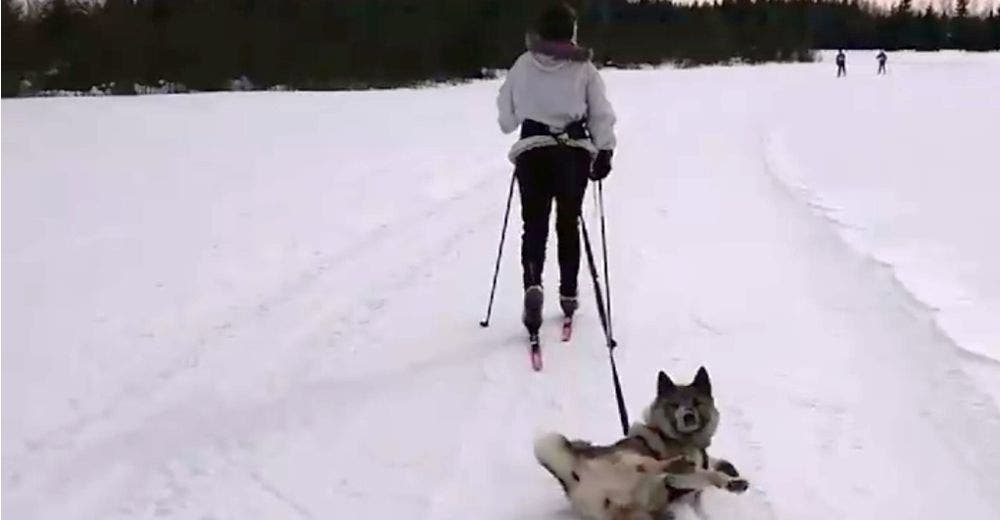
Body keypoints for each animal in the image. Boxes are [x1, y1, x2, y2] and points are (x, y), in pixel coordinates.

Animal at [536, 368, 748, 516]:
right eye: (675, 405)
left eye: (696, 403)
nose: (688, 416)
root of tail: (572, 475)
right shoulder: (680, 481)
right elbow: (708, 474)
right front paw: (728, 480)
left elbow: (713, 463)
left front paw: (731, 473)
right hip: (629, 458)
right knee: (650, 467)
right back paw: (677, 465)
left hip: (631, 512)